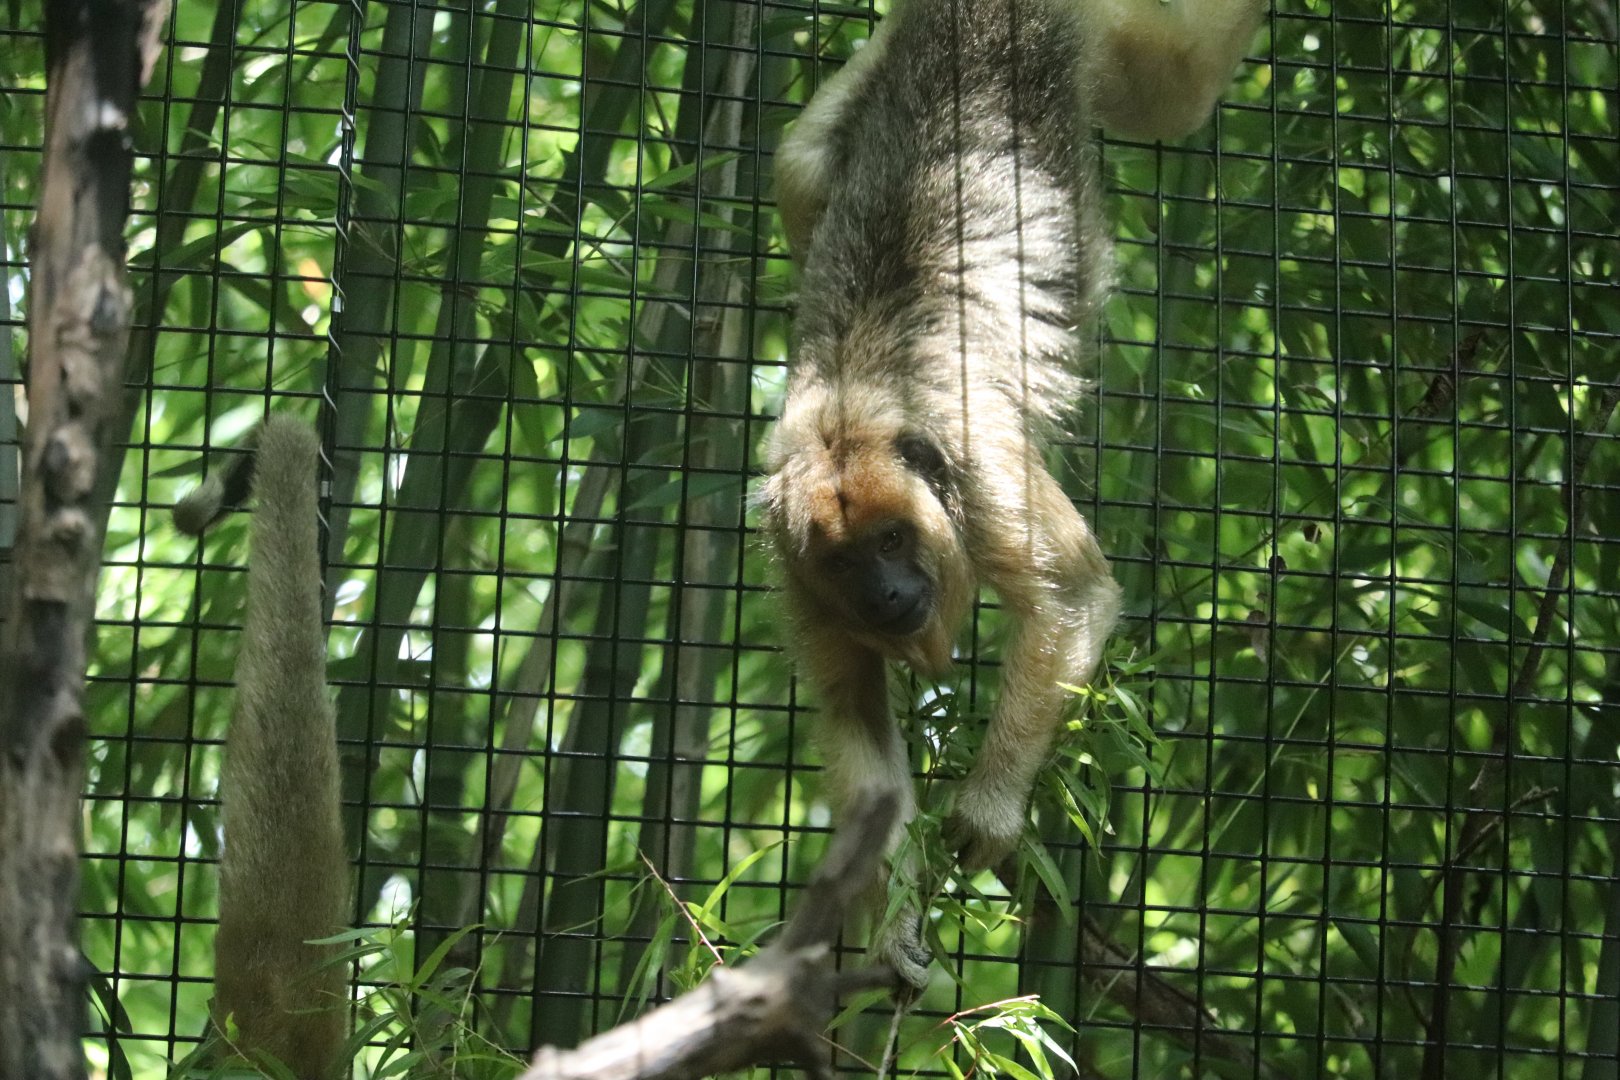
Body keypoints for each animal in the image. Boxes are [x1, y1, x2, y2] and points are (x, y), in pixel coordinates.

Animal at [761, 0, 1266, 992]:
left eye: (892, 540)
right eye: (846, 561)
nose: (886, 593)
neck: (853, 418)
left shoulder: (981, 467)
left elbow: (1070, 596)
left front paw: (990, 809)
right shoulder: (790, 568)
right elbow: (858, 732)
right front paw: (895, 934)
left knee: (1176, 87)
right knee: (797, 169)